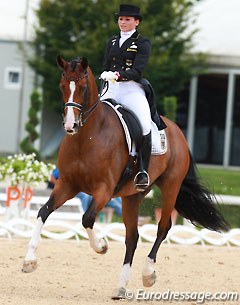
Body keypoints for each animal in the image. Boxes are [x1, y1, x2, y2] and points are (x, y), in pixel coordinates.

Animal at [22, 55, 229, 298]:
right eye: (62, 86)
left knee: (163, 226)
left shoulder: (104, 189)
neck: (87, 137)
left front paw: (102, 246)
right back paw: (121, 287)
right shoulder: (67, 185)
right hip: (132, 196)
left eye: (82, 88)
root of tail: (177, 130)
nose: (70, 126)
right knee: (132, 237)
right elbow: (43, 212)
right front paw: (29, 261)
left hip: (170, 186)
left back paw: (148, 274)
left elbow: (87, 218)